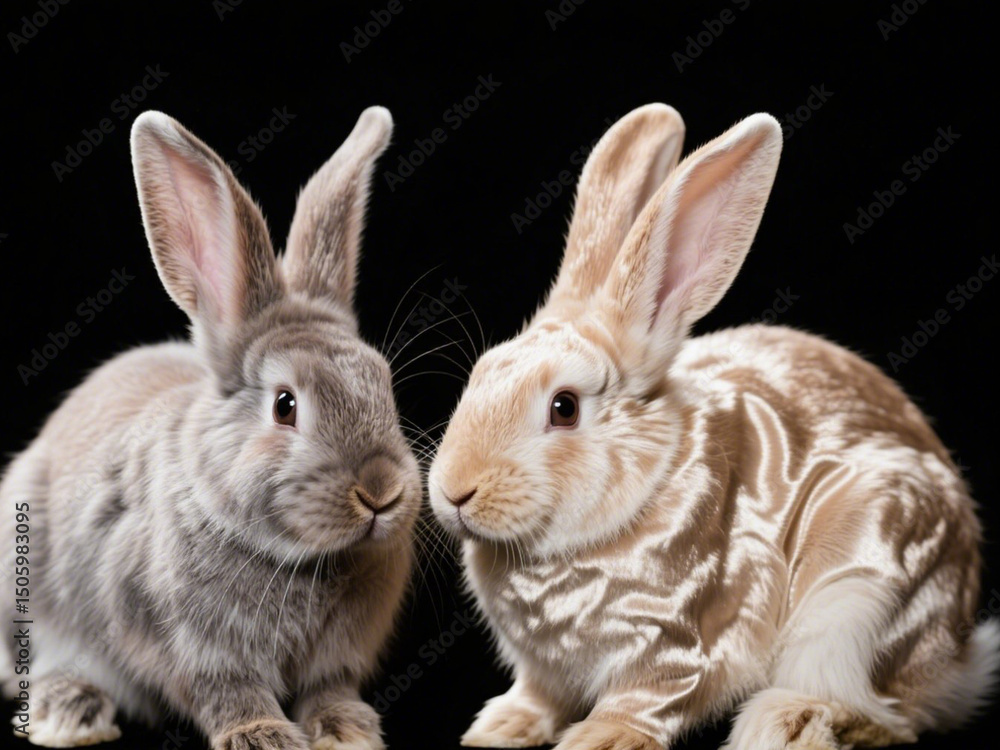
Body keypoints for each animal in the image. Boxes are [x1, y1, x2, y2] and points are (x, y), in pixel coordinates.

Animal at [0, 107, 421, 749]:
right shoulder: (189, 644)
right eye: (285, 405)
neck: (299, 559)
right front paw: (262, 735)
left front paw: (347, 728)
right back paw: (68, 711)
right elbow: (226, 689)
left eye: (384, 384)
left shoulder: (337, 657)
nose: (380, 492)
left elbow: (329, 687)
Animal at [427, 103, 999, 750]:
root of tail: (958, 659)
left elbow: (649, 697)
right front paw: (500, 726)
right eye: (480, 374)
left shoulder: (679, 642)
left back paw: (787, 722)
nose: (455, 491)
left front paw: (602, 737)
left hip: (862, 593)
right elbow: (538, 694)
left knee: (888, 713)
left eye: (564, 407)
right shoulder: (543, 668)